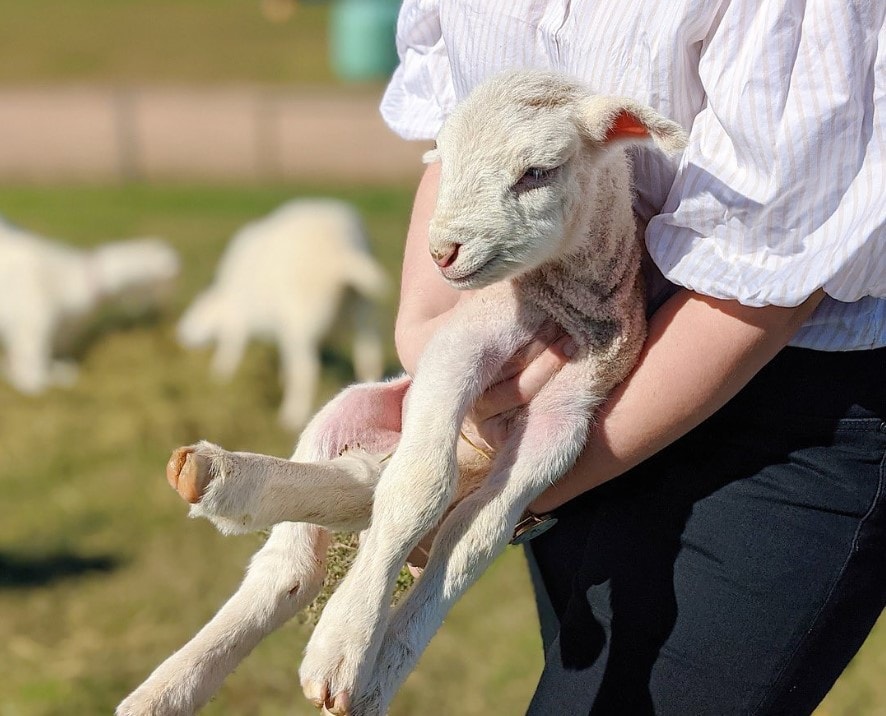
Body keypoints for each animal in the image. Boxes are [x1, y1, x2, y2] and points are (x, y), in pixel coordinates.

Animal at [175, 197, 390, 430]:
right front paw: (281, 378)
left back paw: (292, 415)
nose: (180, 335)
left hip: (303, 320)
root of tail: (341, 250)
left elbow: (231, 348)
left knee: (307, 370)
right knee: (368, 358)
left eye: (196, 313)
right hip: (364, 314)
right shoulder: (284, 331)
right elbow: (286, 359)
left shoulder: (240, 320)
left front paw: (220, 373)